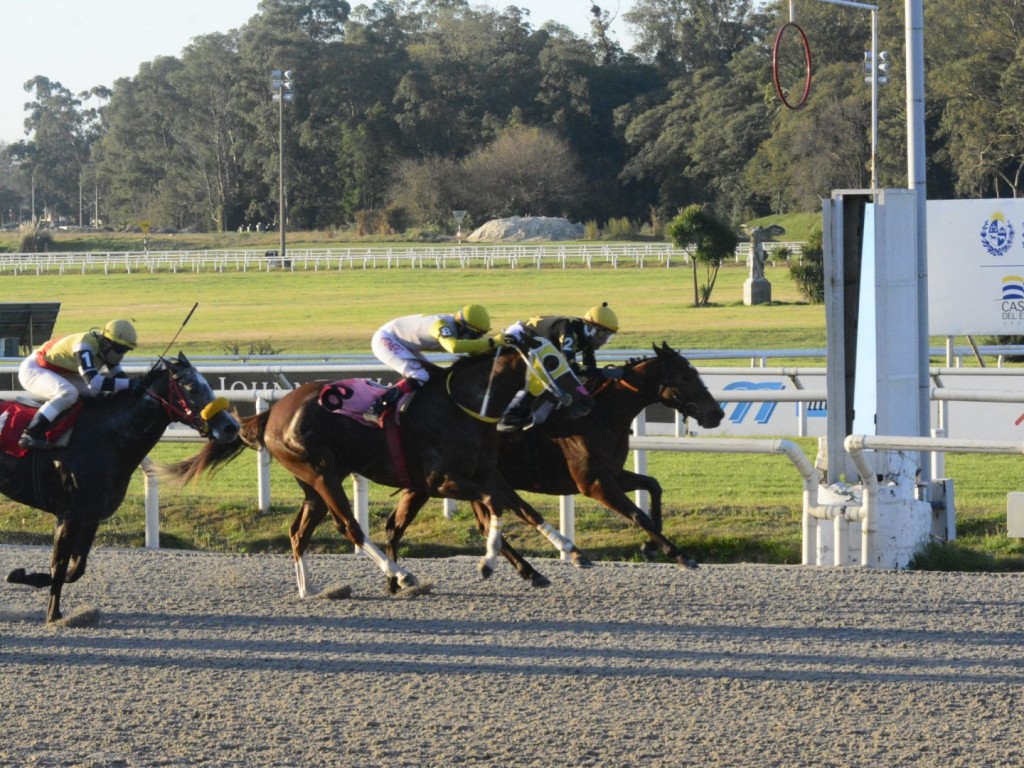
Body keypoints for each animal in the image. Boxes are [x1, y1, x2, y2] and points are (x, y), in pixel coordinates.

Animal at [4, 354, 239, 626]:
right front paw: (53, 614)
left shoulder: (91, 516)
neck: (107, 436)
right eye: (192, 388)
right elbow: (59, 566)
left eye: (208, 385)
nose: (231, 427)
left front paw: (23, 577)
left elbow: (75, 569)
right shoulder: (69, 513)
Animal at [159, 346, 593, 598]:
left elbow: (522, 507)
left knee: (299, 531)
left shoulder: (484, 472)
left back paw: (310, 589)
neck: (465, 406)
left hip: (313, 483)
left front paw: (568, 552)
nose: (582, 399)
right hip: (322, 474)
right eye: (552, 360)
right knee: (349, 526)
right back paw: (400, 575)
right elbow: (494, 508)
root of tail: (272, 412)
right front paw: (488, 563)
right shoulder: (441, 481)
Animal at [385, 342, 729, 573]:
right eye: (684, 377)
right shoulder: (594, 483)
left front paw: (651, 546)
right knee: (401, 525)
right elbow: (637, 514)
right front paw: (677, 553)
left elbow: (653, 486)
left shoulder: (612, 475)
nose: (717, 413)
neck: (601, 414)